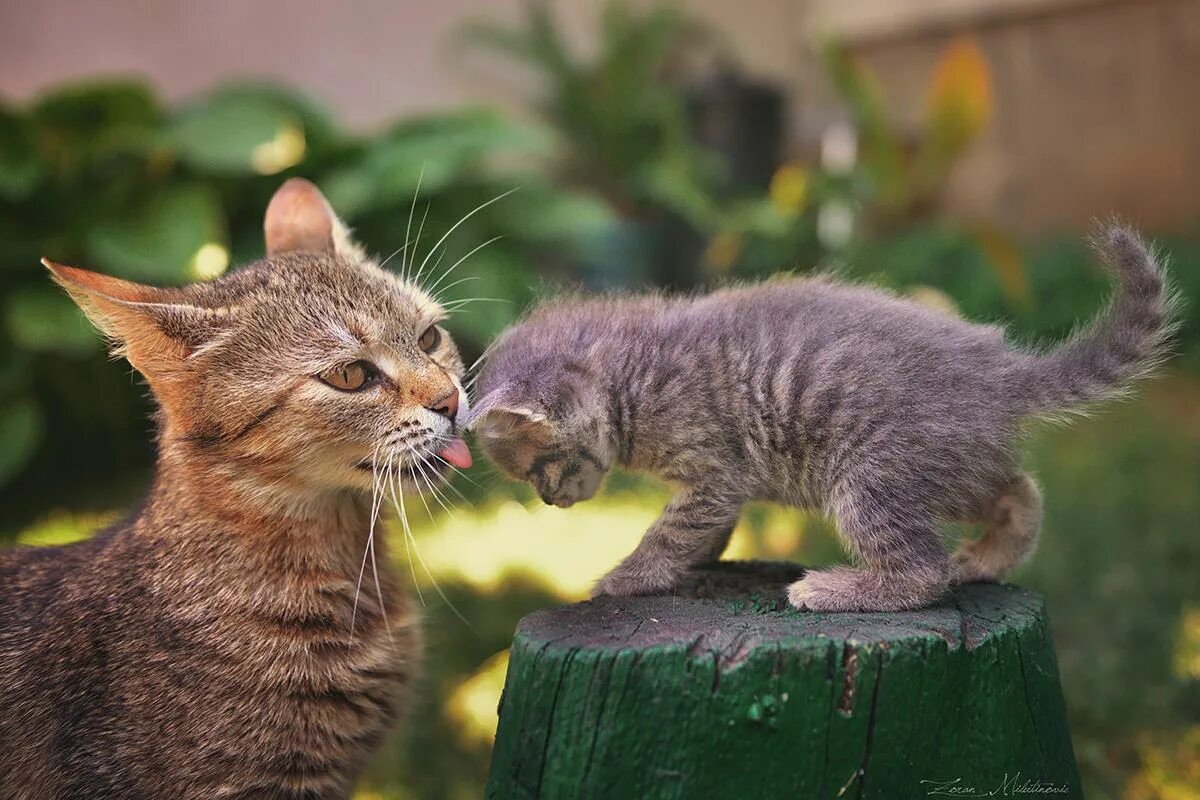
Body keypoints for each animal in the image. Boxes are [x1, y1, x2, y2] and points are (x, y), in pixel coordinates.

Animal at [465, 225, 1171, 614]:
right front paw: (696, 563)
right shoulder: (719, 488)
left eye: (541, 466)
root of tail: (998, 370)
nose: (548, 501)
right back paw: (983, 559)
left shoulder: (713, 470)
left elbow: (670, 530)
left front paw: (626, 576)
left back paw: (835, 589)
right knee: (1019, 492)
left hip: (869, 477)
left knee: (924, 571)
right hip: (949, 466)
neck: (631, 373)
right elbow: (701, 531)